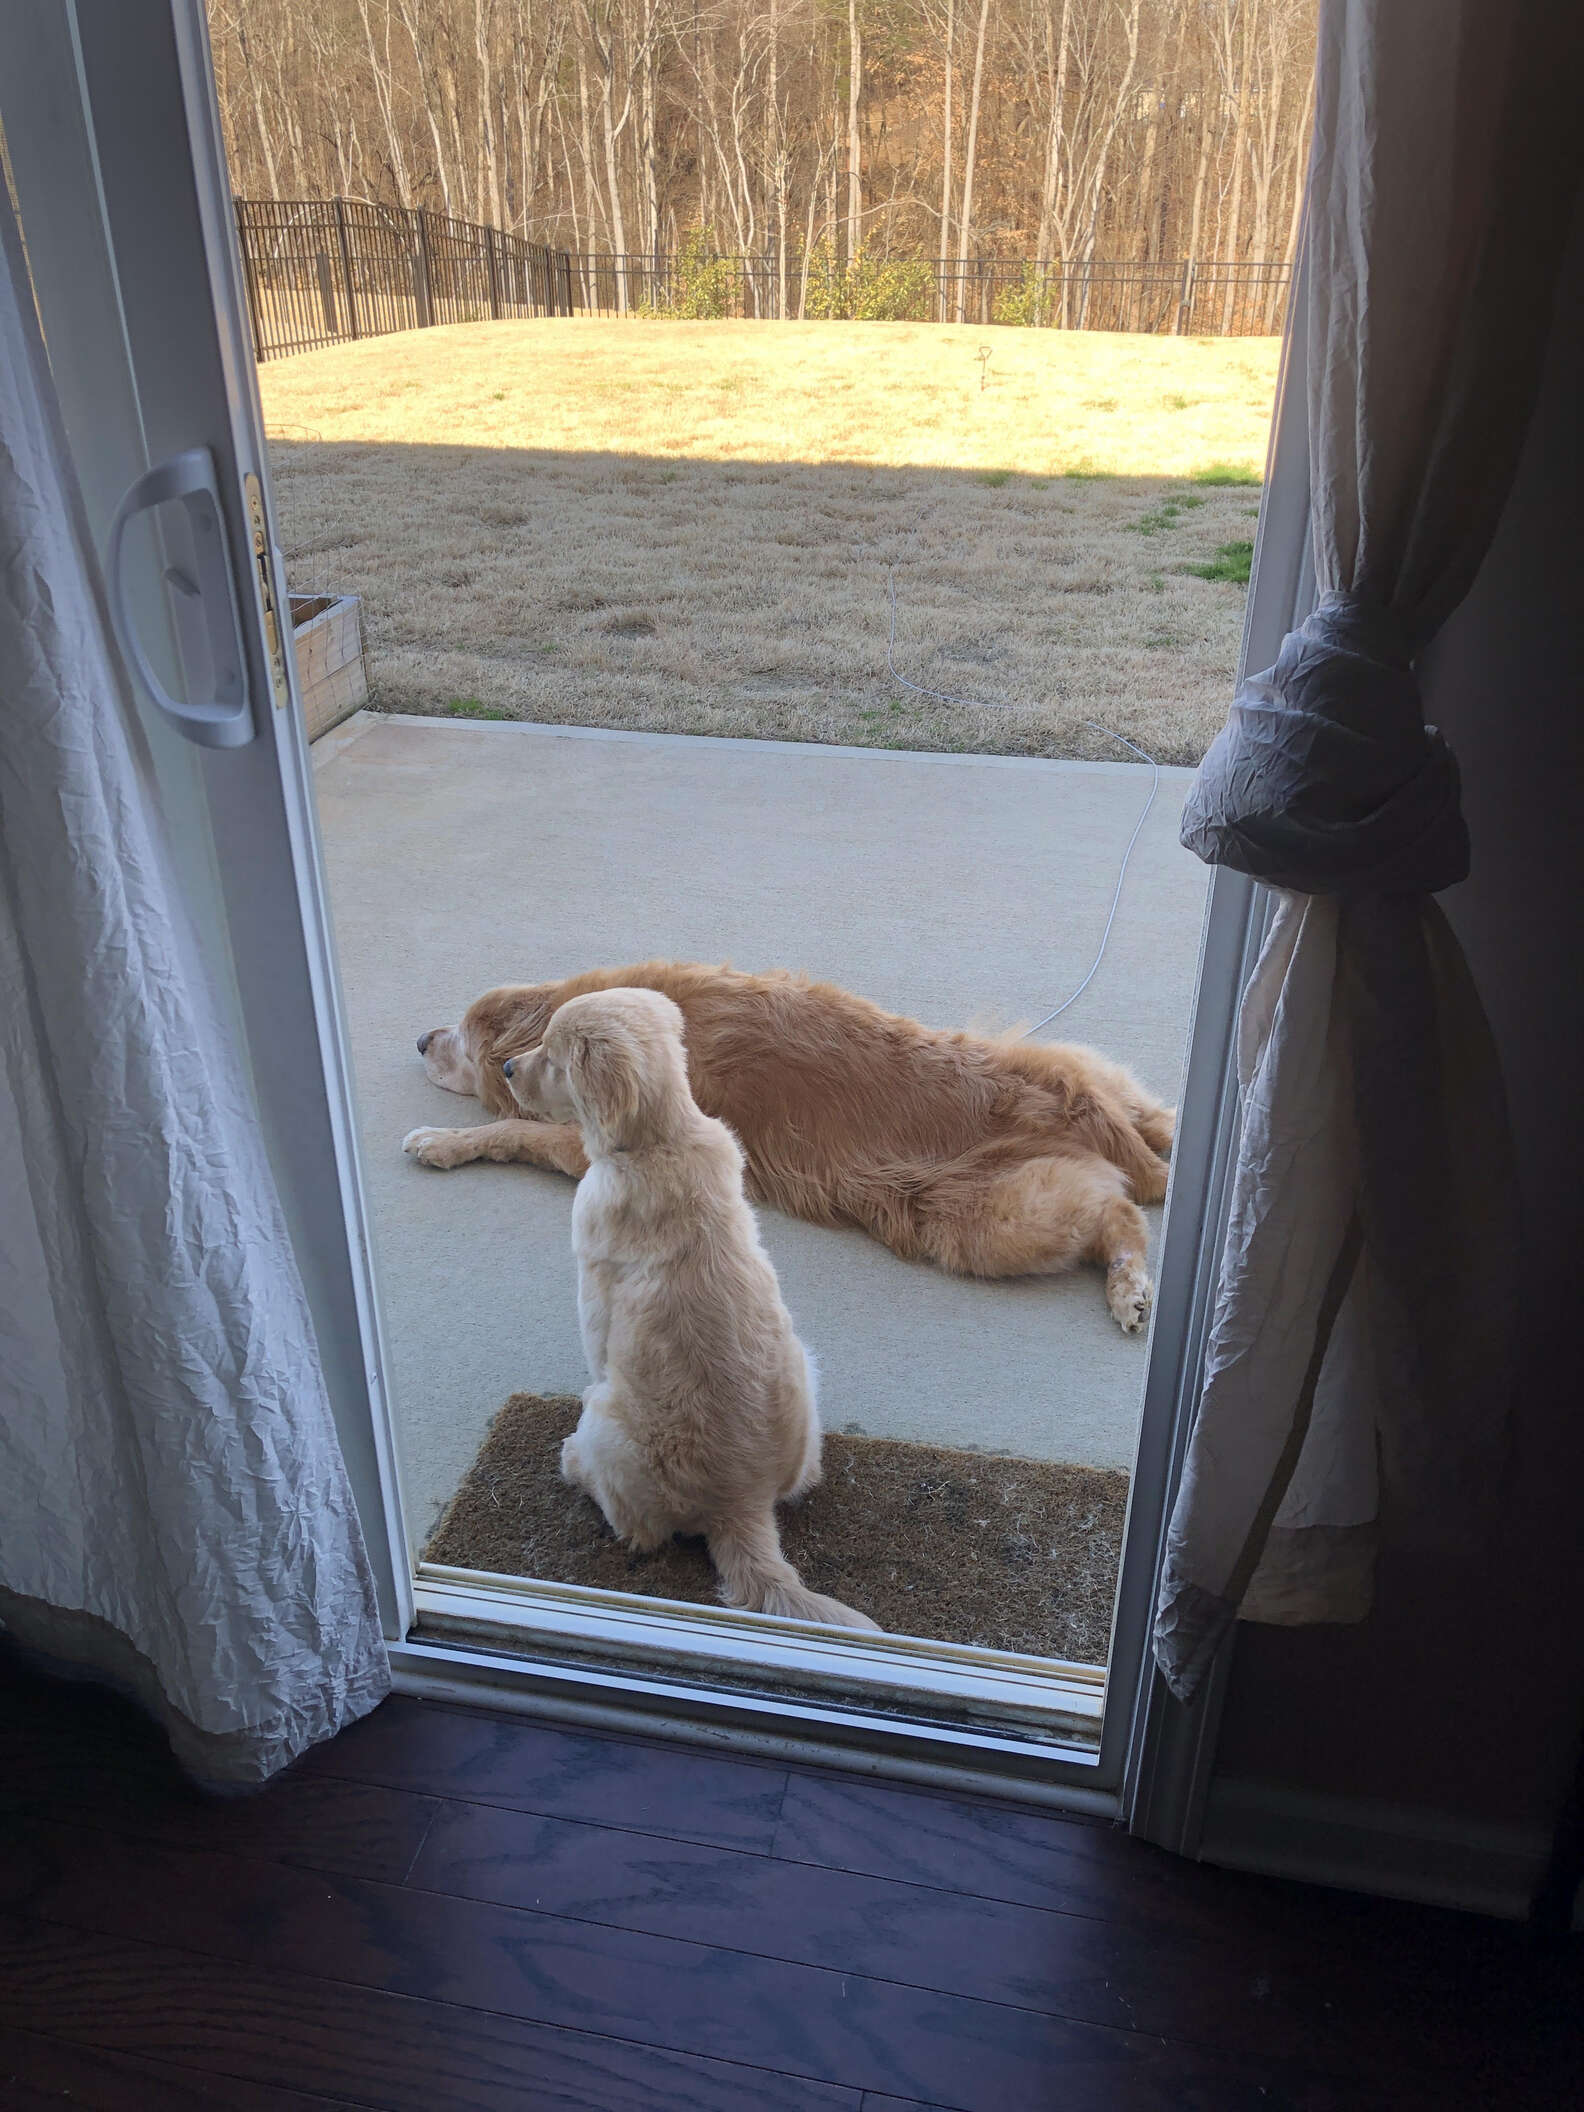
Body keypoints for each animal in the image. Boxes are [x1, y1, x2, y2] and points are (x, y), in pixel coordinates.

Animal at [504, 988, 882, 1630]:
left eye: (552, 1058)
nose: (506, 1068)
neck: (661, 1140)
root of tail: (742, 1507)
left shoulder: (593, 1289)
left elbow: (595, 1350)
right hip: (806, 1366)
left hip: (610, 1424)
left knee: (637, 1528)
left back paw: (575, 1462)